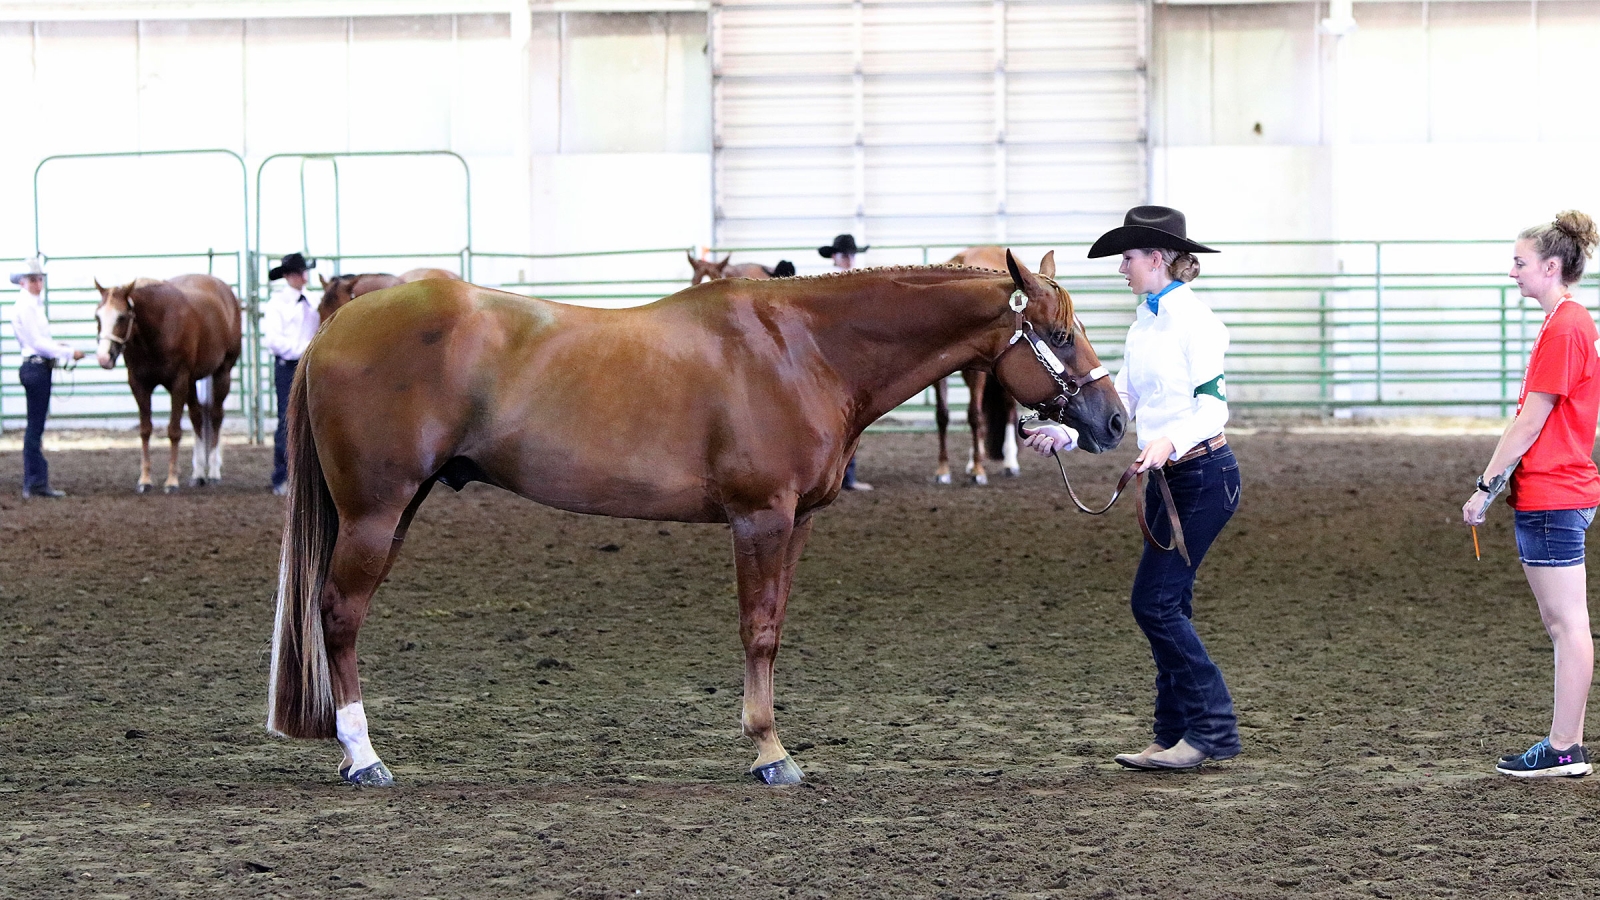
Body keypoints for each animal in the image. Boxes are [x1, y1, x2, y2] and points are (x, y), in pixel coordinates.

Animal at [93, 273, 241, 490]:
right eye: (97, 316)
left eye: (122, 317)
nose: (104, 358)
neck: (157, 326)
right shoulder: (139, 384)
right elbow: (145, 430)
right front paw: (145, 479)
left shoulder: (178, 382)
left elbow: (174, 431)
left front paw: (171, 481)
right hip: (192, 382)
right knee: (197, 418)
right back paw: (199, 473)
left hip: (222, 372)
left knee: (215, 416)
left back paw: (213, 472)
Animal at [934, 243, 1030, 483]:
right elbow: (942, 415)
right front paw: (943, 470)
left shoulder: (977, 374)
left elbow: (975, 416)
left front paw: (979, 471)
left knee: (1007, 409)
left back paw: (1009, 463)